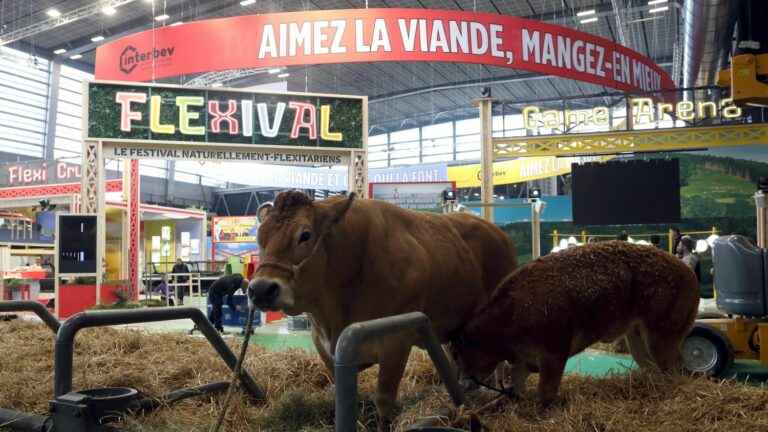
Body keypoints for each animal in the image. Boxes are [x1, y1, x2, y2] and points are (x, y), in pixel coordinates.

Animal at [250, 192, 516, 428]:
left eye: (305, 235)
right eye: (260, 237)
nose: (261, 289)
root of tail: (497, 232)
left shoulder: (396, 342)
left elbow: (384, 404)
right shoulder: (324, 346)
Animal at [452, 243, 700, 408]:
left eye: (458, 355)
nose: (462, 385)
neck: (509, 318)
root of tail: (690, 274)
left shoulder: (554, 353)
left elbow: (546, 391)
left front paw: (543, 412)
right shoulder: (522, 361)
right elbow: (516, 387)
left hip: (661, 336)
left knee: (675, 367)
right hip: (636, 337)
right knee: (651, 367)